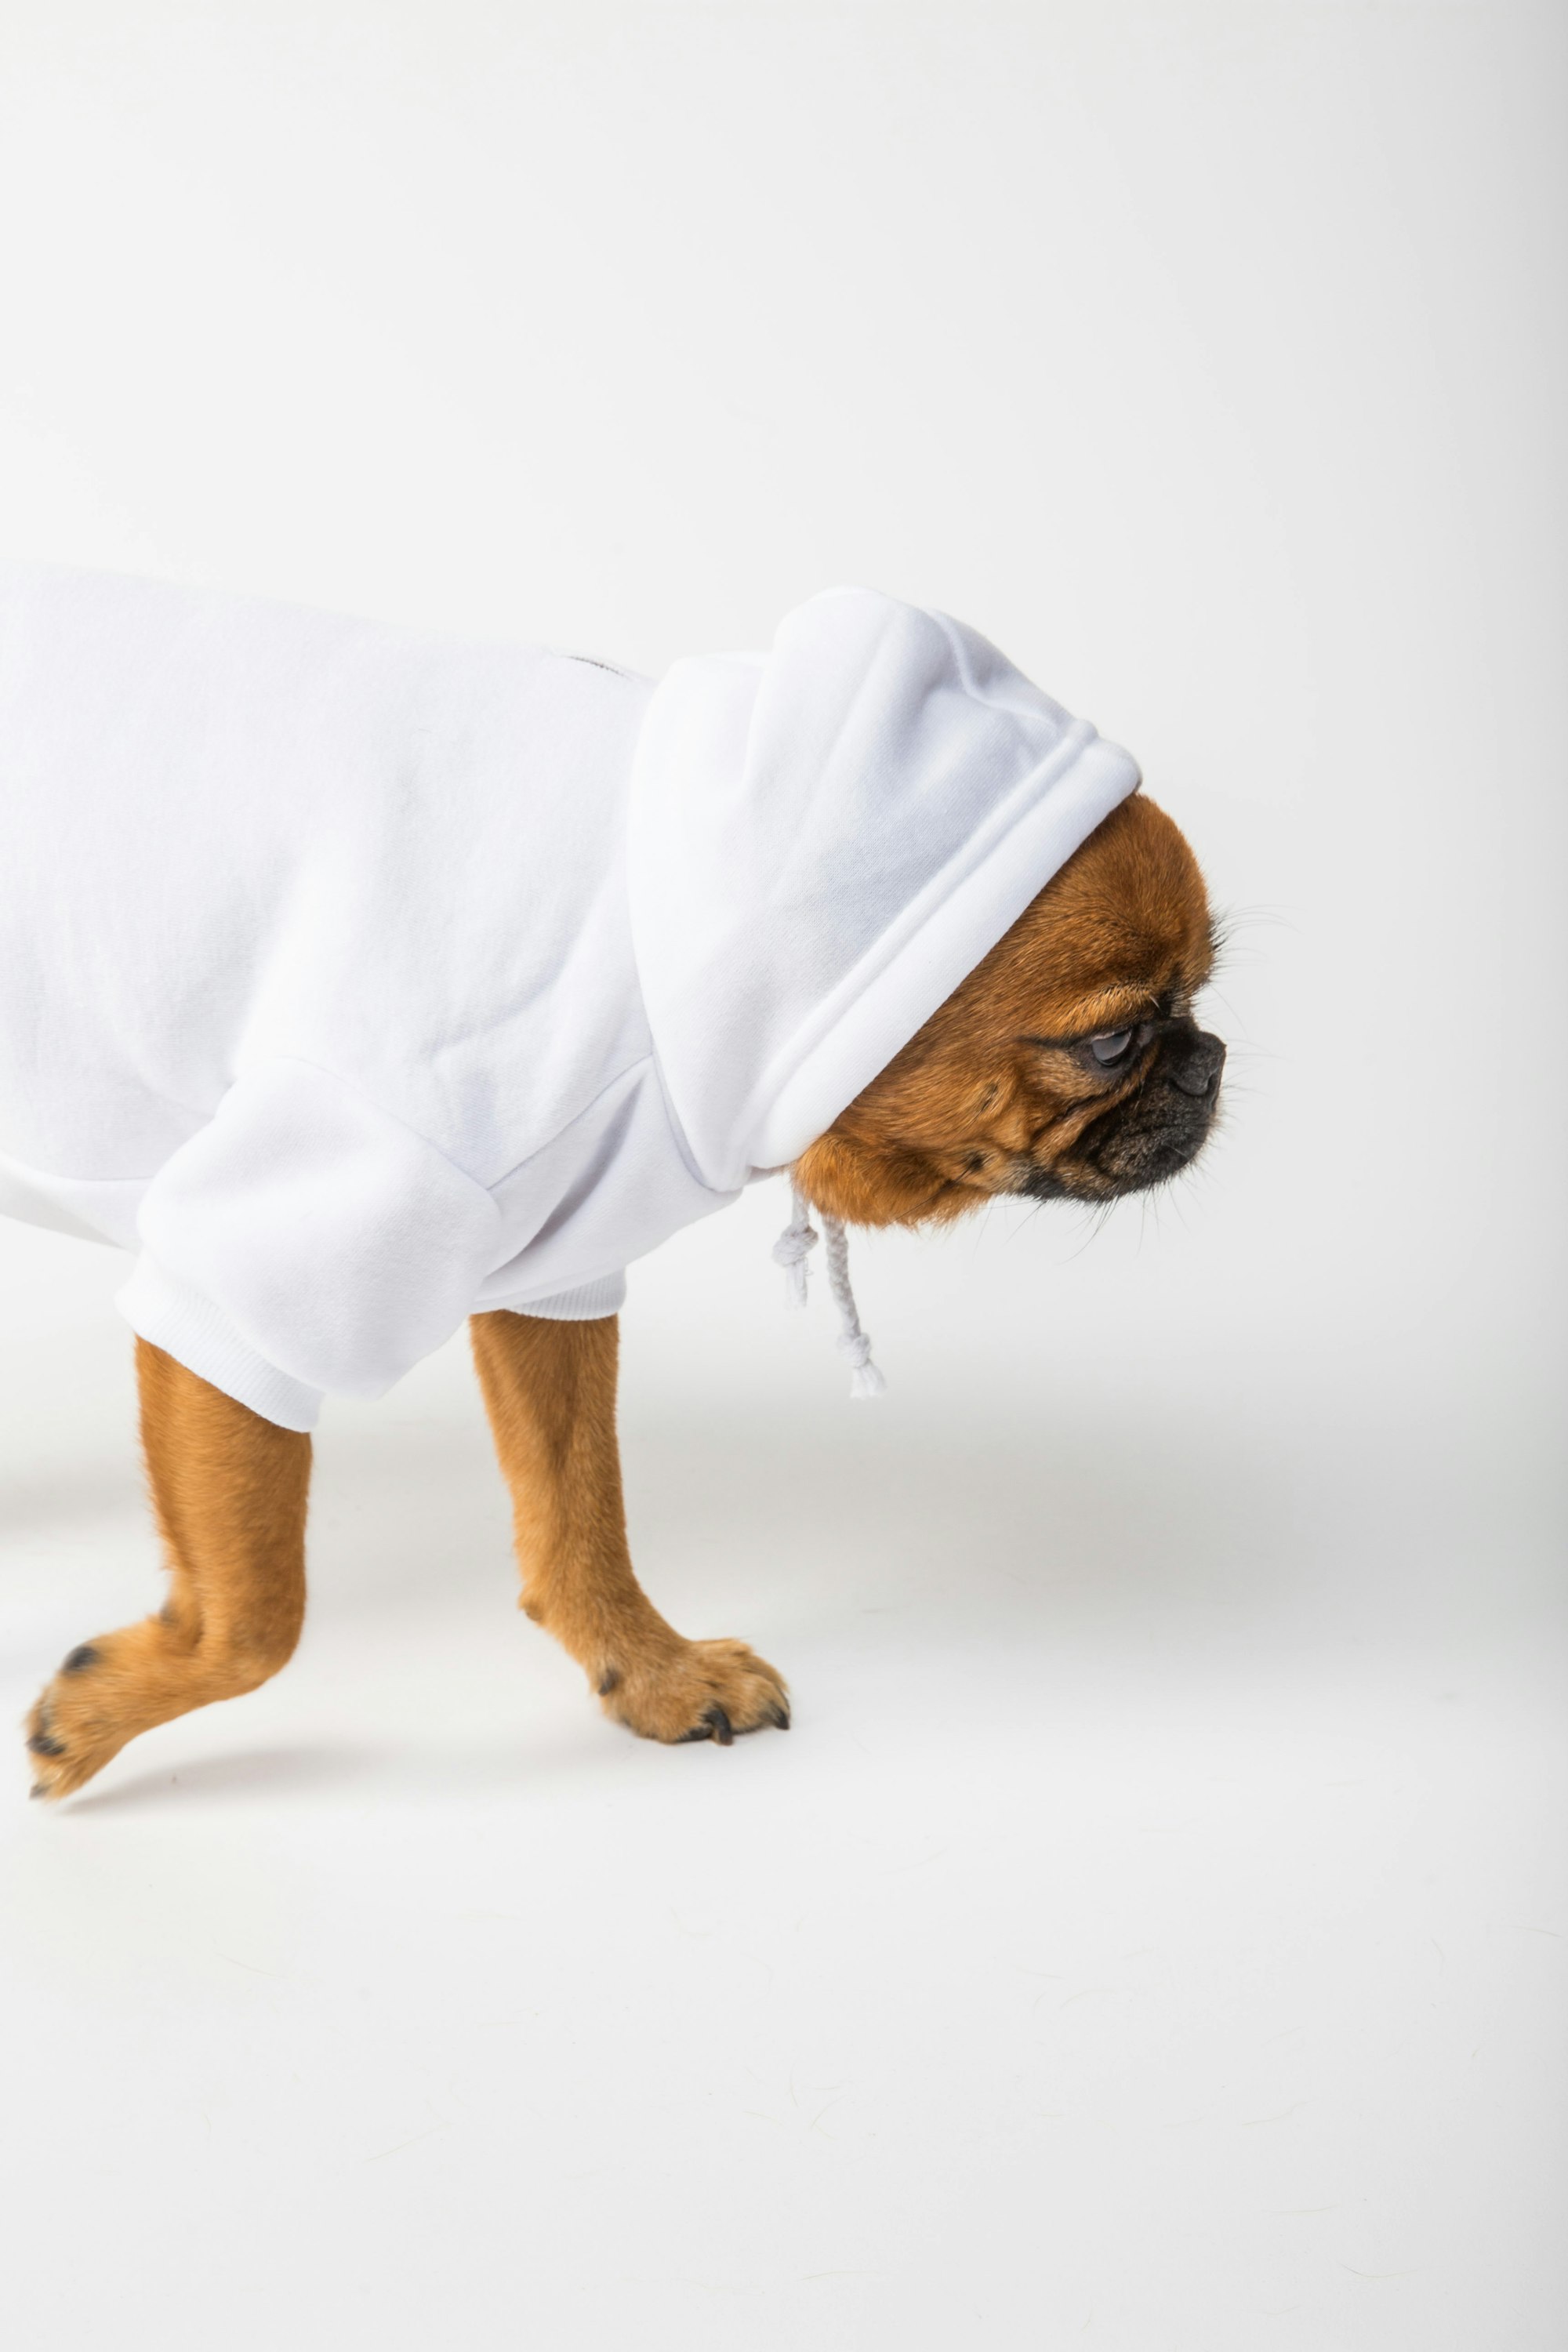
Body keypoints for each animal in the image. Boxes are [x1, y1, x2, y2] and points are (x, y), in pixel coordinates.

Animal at [0, 574, 1222, 1797]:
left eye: (1200, 997)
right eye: (1112, 1042)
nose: (1208, 1061)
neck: (650, 929)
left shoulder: (550, 1277)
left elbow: (576, 1509)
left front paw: (646, 1669)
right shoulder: (274, 1273)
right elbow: (256, 1618)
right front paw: (96, 1713)